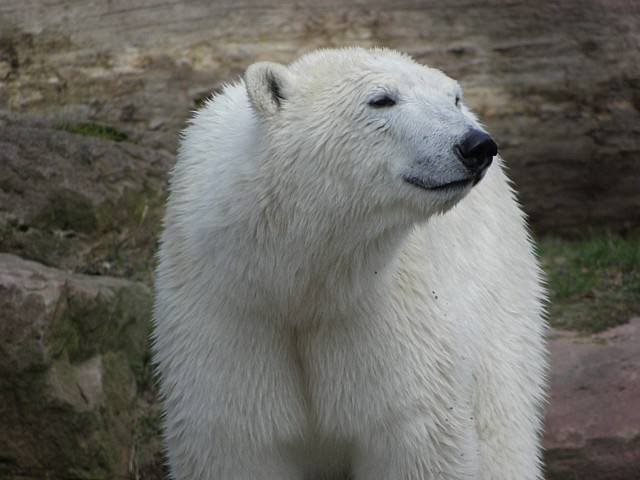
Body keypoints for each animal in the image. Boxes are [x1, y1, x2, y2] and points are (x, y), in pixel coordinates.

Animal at [152, 47, 548, 480]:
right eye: (382, 100)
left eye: (453, 97)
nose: (476, 145)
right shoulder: (226, 309)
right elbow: (237, 441)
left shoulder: (387, 313)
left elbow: (417, 440)